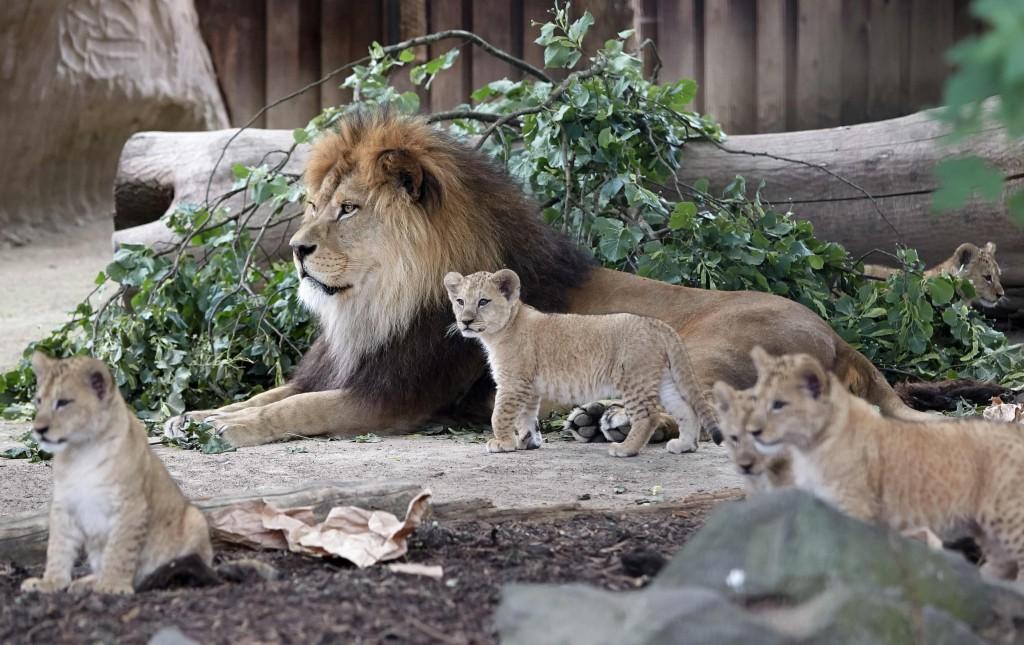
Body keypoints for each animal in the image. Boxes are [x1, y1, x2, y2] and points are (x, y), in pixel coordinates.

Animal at [169, 111, 929, 446]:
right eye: (313, 206)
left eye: (348, 209)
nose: (297, 250)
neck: (372, 306)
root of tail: (839, 338)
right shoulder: (338, 369)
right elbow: (266, 395)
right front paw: (194, 416)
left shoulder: (393, 399)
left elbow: (290, 412)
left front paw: (223, 431)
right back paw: (593, 417)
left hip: (706, 346)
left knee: (705, 415)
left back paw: (611, 421)